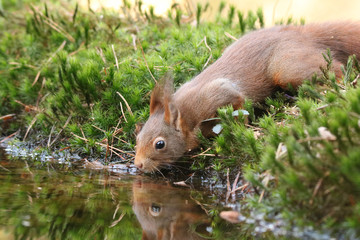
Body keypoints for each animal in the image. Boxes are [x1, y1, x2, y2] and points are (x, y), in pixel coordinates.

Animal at [134, 22, 360, 172]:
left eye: (160, 144)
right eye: (138, 137)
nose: (138, 164)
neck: (185, 114)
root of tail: (302, 33)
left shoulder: (216, 94)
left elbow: (238, 105)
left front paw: (239, 130)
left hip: (287, 66)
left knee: (336, 69)